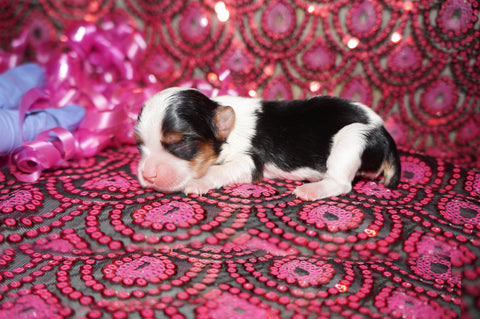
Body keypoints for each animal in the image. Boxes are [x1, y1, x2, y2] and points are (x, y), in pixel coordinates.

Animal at [135, 87, 402, 201]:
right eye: (139, 145)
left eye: (181, 143)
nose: (147, 174)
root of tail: (385, 134)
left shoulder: (249, 160)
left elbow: (218, 170)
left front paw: (198, 182)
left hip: (352, 137)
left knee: (341, 183)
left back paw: (311, 190)